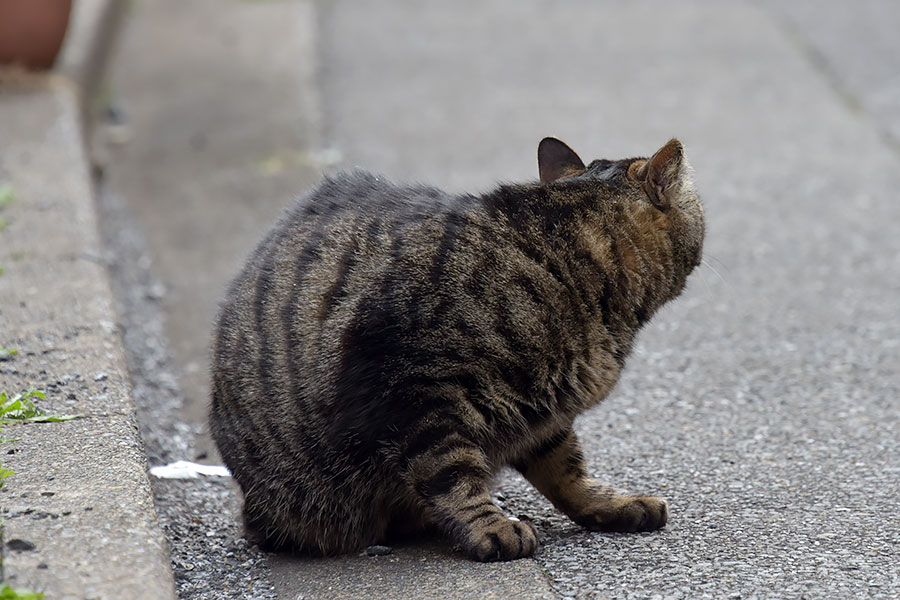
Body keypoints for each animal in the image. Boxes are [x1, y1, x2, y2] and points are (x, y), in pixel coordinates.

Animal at [209, 138, 704, 560]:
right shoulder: (417, 390)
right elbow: (451, 473)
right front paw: (491, 528)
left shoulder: (545, 414)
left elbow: (566, 467)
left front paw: (609, 504)